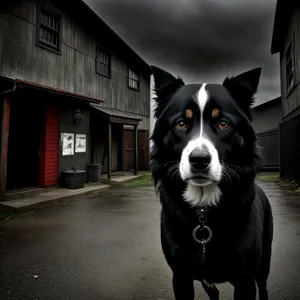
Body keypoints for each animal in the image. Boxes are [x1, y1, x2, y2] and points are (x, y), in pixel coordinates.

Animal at [150, 66, 274, 300]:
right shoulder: (180, 275)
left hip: (264, 262)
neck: (203, 211)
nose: (199, 160)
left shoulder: (245, 279)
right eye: (181, 124)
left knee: (263, 285)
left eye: (223, 123)